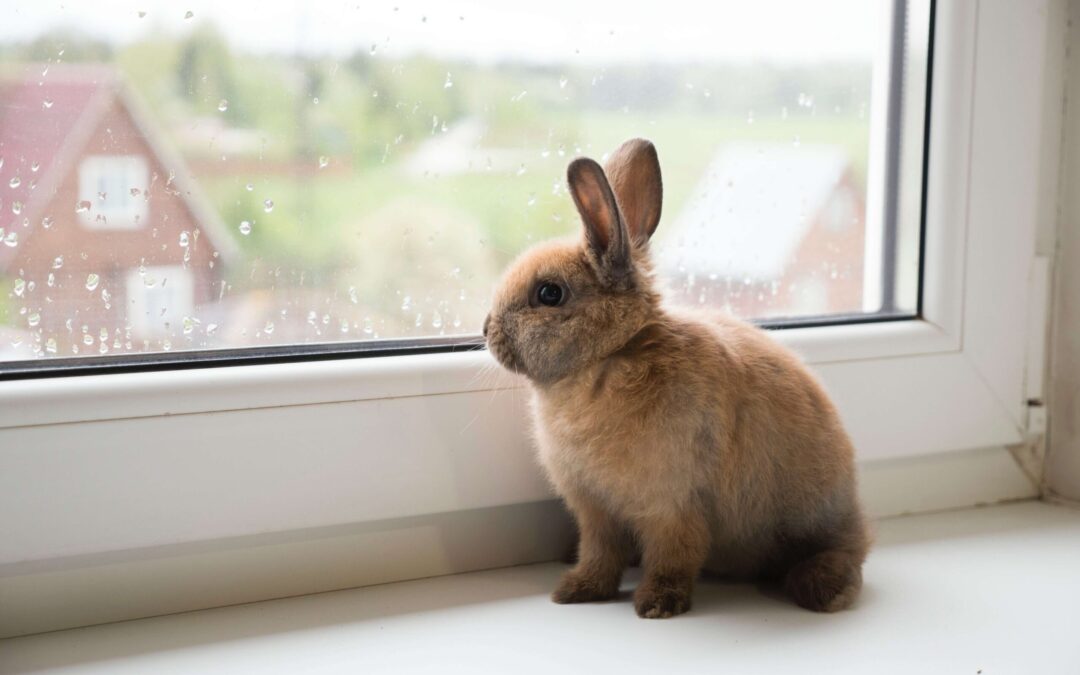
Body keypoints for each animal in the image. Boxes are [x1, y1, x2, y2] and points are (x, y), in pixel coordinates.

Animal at [483, 138, 869, 619]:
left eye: (549, 293)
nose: (486, 329)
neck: (610, 356)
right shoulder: (596, 511)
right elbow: (599, 554)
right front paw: (576, 591)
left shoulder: (673, 505)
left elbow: (674, 555)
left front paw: (657, 604)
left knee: (846, 553)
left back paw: (824, 590)